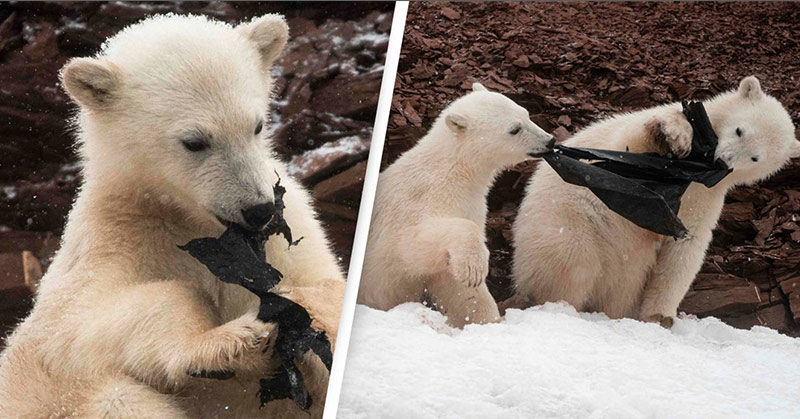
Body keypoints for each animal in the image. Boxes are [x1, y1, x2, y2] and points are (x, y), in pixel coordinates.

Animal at [0, 14, 345, 418]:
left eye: (256, 126)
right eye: (195, 141)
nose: (258, 210)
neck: (187, 218)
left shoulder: (287, 234)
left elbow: (324, 286)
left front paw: (298, 312)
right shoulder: (115, 236)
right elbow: (76, 324)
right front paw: (232, 340)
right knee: (118, 398)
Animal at [357, 83, 555, 328]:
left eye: (526, 114)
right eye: (514, 129)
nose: (550, 141)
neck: (453, 172)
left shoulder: (471, 205)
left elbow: (457, 287)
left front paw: (486, 319)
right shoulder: (417, 201)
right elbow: (411, 245)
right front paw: (474, 268)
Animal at [509, 76, 800, 327]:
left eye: (755, 157)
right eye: (740, 130)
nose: (722, 161)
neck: (699, 169)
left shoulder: (708, 196)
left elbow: (685, 245)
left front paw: (660, 316)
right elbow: (632, 145)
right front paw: (674, 134)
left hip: (625, 273)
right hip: (569, 222)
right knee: (573, 260)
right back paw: (559, 305)